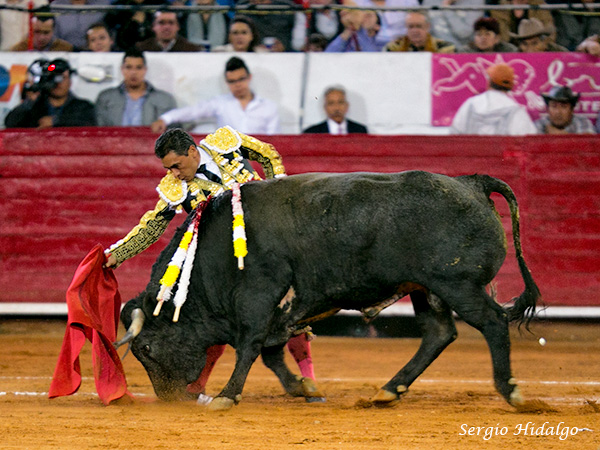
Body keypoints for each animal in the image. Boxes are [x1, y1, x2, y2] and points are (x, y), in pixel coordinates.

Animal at [117, 171, 540, 412]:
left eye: (146, 348)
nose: (170, 397)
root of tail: (472, 183)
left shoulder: (259, 293)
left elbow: (251, 344)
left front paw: (226, 395)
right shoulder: (276, 306)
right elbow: (270, 351)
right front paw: (300, 387)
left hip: (457, 284)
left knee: (493, 323)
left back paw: (513, 393)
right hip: (428, 288)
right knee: (439, 333)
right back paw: (388, 391)